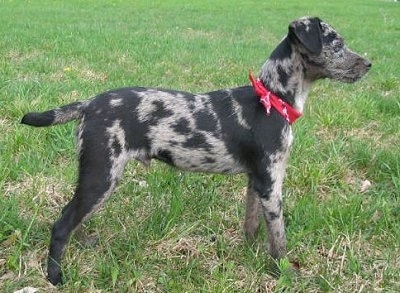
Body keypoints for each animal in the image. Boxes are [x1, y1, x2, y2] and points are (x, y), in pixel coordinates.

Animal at [21, 16, 372, 282]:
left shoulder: (256, 181)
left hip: (98, 176)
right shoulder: (271, 183)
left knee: (75, 215)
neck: (271, 99)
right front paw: (283, 272)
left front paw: (250, 255)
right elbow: (279, 237)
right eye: (337, 44)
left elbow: (252, 225)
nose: (369, 64)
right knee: (62, 223)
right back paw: (55, 277)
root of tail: (89, 104)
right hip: (100, 174)